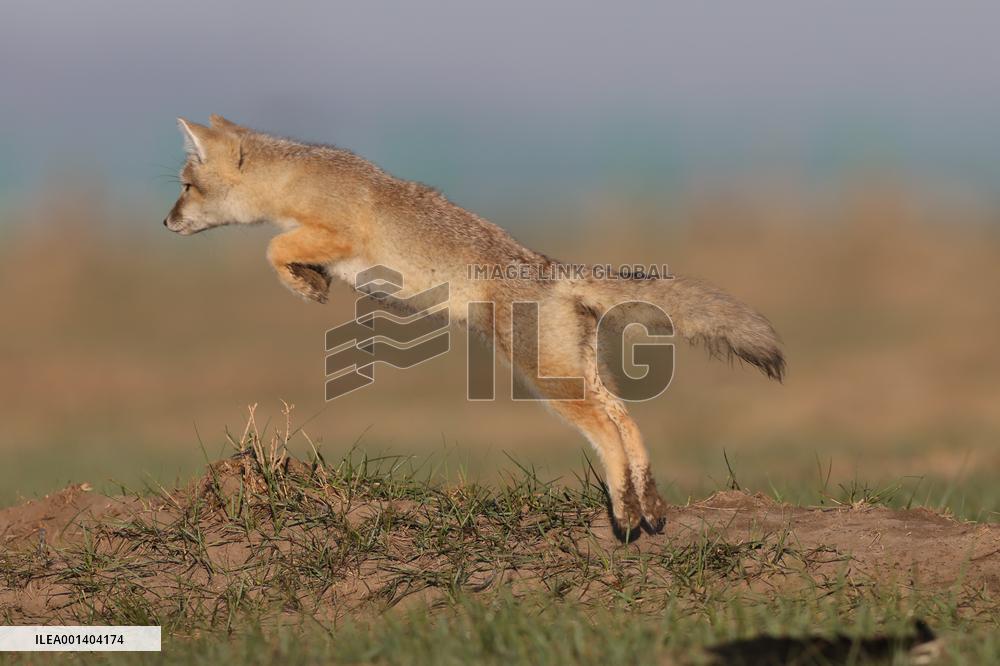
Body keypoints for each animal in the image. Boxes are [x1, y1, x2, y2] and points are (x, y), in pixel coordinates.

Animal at [164, 115, 785, 539]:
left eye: (186, 187)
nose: (165, 222)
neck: (296, 178)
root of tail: (549, 267)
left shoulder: (338, 235)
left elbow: (272, 247)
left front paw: (305, 283)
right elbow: (282, 251)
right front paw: (310, 283)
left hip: (549, 382)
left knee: (608, 431)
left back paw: (626, 512)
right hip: (577, 373)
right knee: (626, 419)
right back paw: (651, 504)